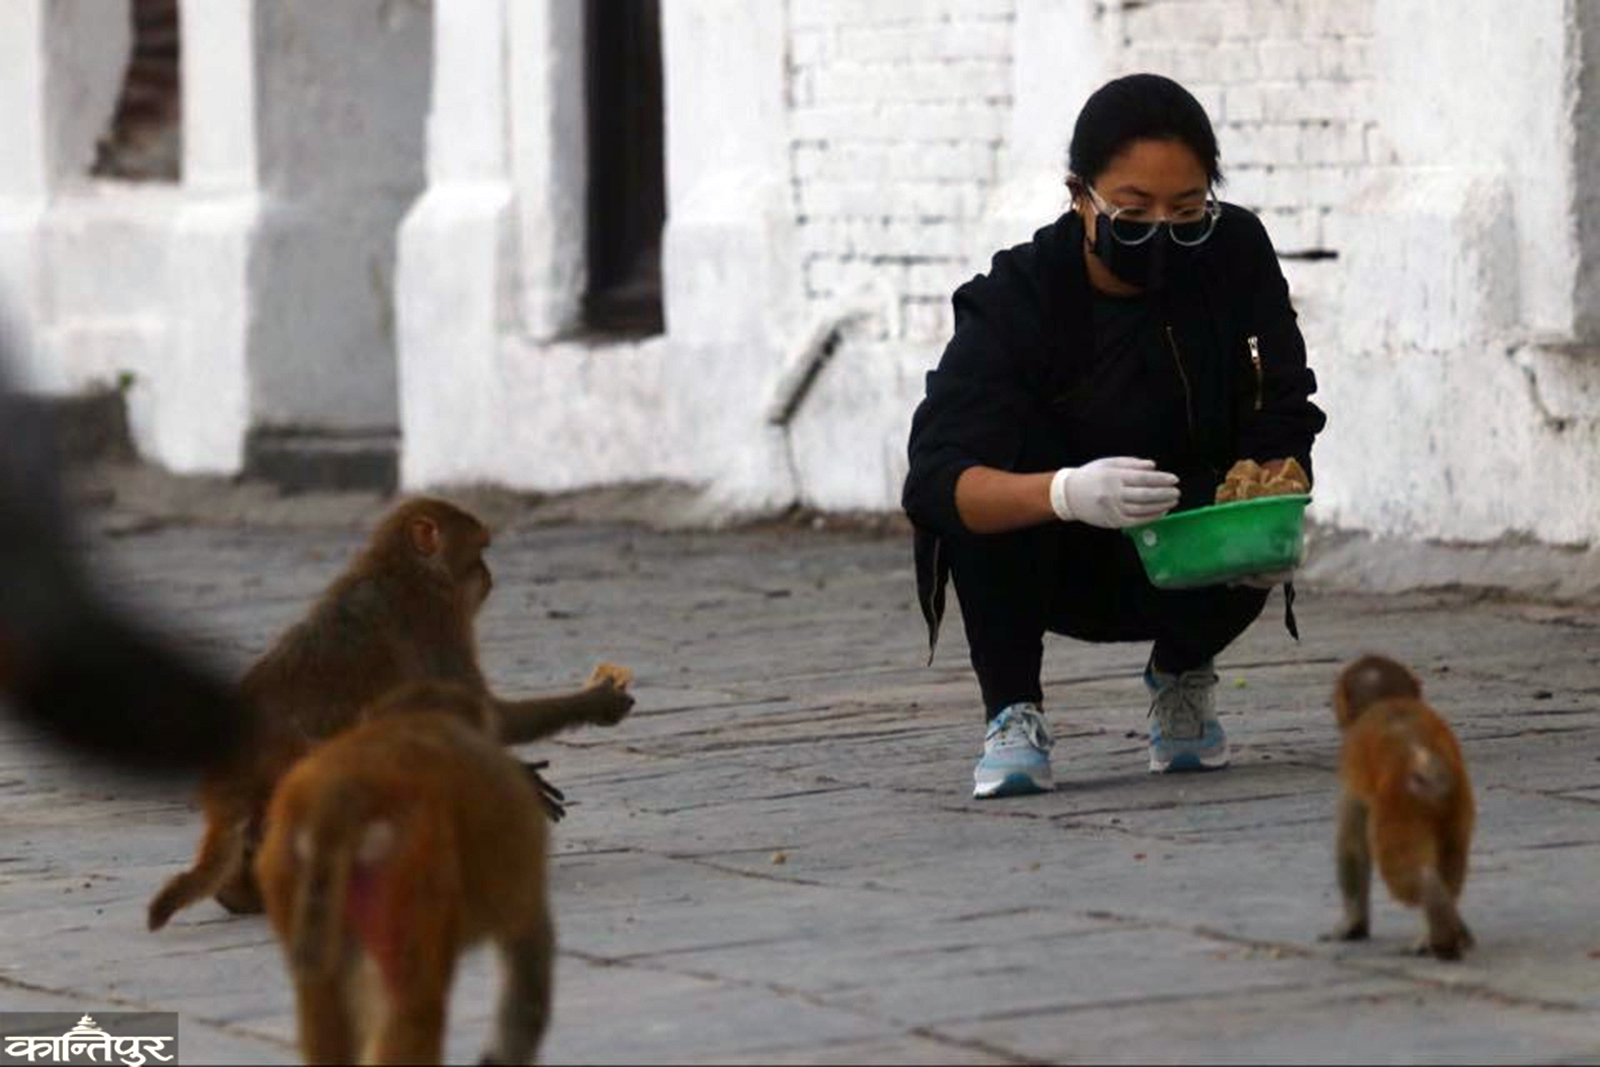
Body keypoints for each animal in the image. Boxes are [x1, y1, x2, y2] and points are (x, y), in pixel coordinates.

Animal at [148, 495, 636, 927]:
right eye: (478, 553)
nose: (489, 574)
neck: (404, 569)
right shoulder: (434, 617)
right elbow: (486, 714)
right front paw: (595, 703)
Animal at [249, 684, 550, 1067]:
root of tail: (342, 795)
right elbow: (528, 979)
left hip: (287, 863)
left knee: (323, 1000)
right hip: (409, 870)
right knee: (416, 1005)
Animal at [1318, 655, 1478, 966]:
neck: (1388, 701)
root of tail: (1424, 762)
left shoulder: (1351, 771)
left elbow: (1352, 845)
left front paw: (1352, 925)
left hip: (1399, 812)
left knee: (1405, 873)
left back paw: (1432, 902)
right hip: (1456, 806)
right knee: (1451, 864)